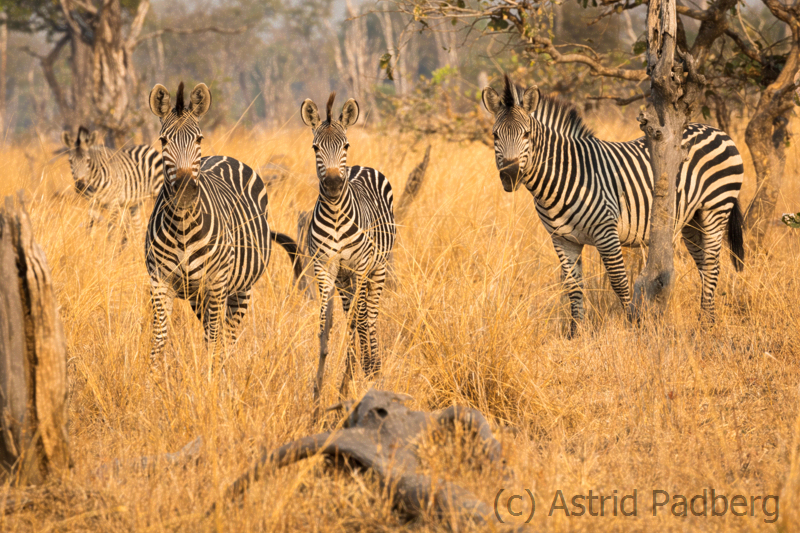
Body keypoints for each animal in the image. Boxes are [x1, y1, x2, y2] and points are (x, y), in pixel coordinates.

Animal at [147, 82, 304, 366]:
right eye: (163, 141)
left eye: (199, 139)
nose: (185, 192)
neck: (182, 226)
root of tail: (224, 156)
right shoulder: (160, 281)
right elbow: (159, 339)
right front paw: (152, 377)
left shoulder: (217, 281)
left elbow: (214, 339)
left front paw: (211, 376)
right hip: (199, 294)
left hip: (239, 289)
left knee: (227, 334)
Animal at [300, 93, 396, 402]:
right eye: (315, 147)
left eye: (345, 145)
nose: (332, 183)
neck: (334, 213)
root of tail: (361, 166)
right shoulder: (324, 267)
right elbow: (325, 322)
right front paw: (323, 375)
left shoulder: (361, 265)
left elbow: (361, 317)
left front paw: (356, 372)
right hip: (344, 278)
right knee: (353, 312)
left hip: (377, 268)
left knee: (370, 314)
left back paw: (372, 365)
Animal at [482, 74, 744, 334]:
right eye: (495, 135)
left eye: (526, 134)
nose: (510, 175)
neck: (560, 179)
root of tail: (717, 130)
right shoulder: (562, 239)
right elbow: (573, 286)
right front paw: (575, 333)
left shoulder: (606, 231)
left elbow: (619, 281)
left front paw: (633, 325)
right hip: (692, 221)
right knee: (703, 265)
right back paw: (706, 318)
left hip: (716, 208)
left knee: (712, 265)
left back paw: (706, 324)